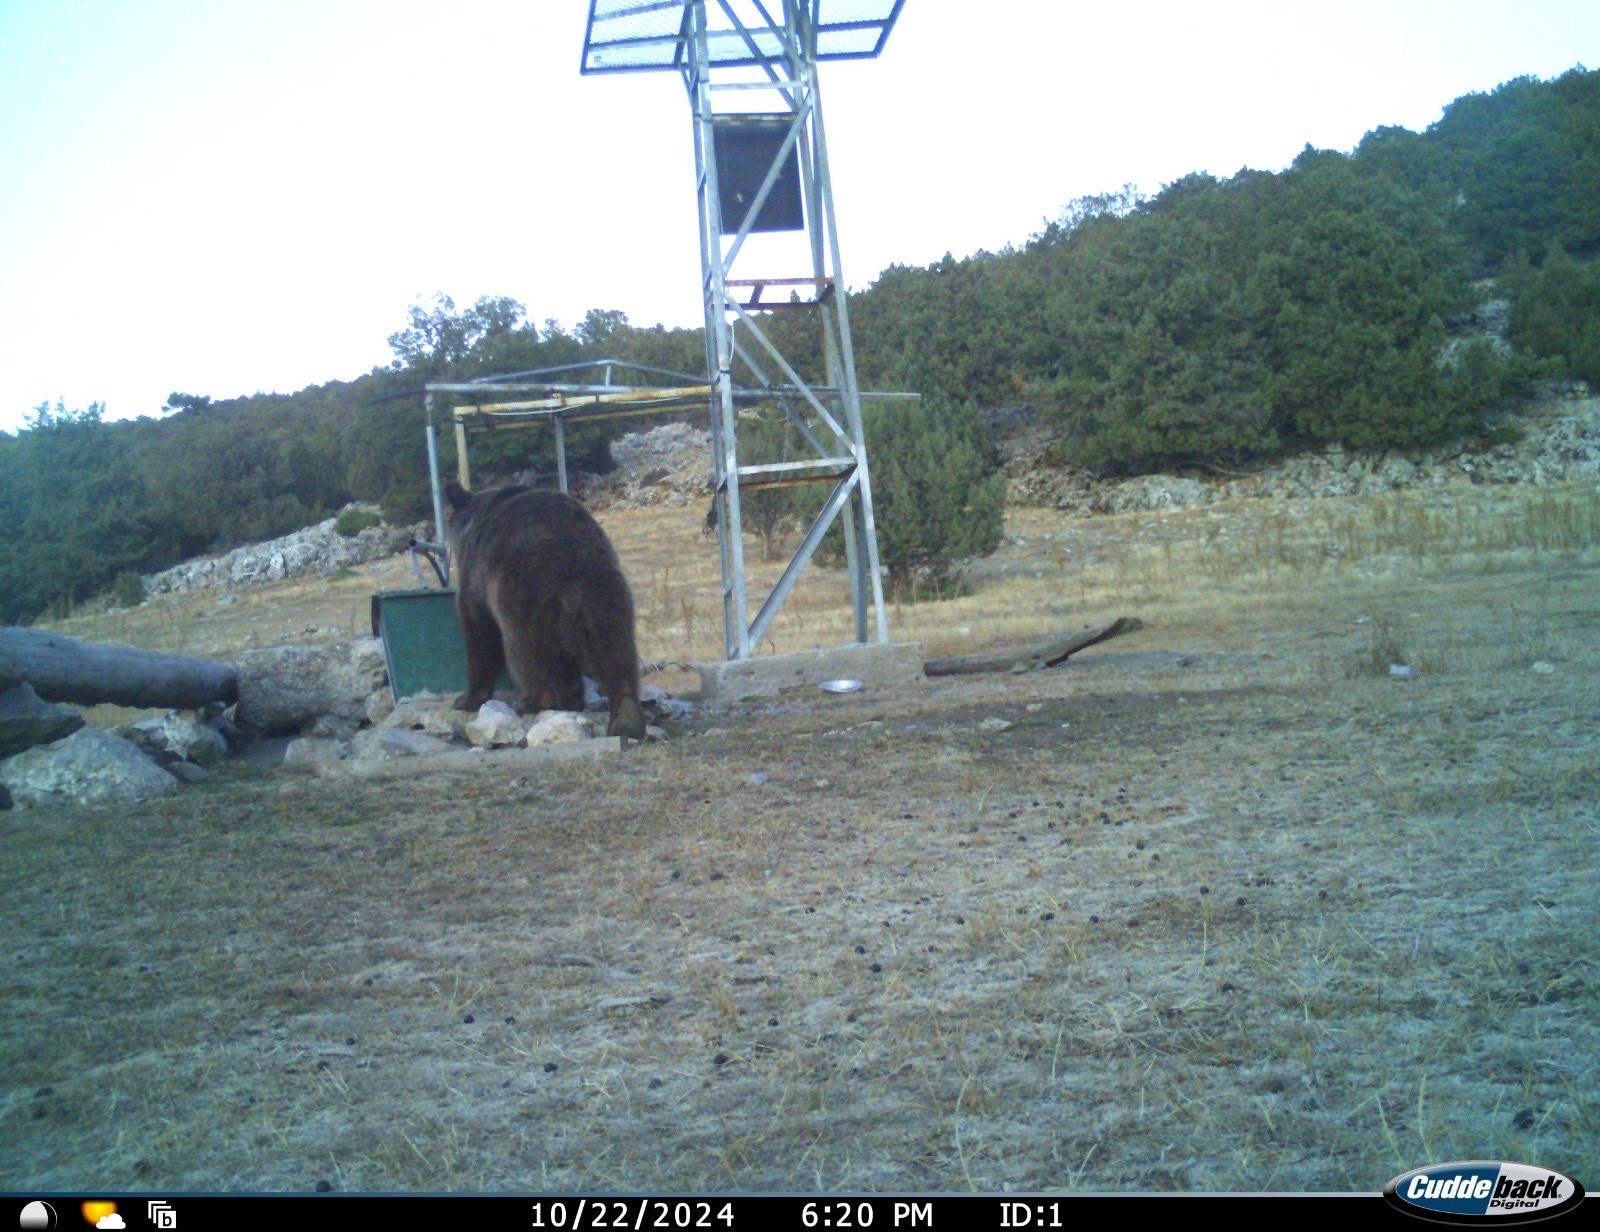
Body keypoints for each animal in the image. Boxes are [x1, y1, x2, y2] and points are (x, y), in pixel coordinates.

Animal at [444, 476, 643, 729]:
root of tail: (573, 556)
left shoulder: (476, 581)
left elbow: (480, 634)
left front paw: (467, 698)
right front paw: (570, 699)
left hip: (523, 593)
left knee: (525, 650)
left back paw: (527, 703)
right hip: (605, 594)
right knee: (615, 649)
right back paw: (627, 714)